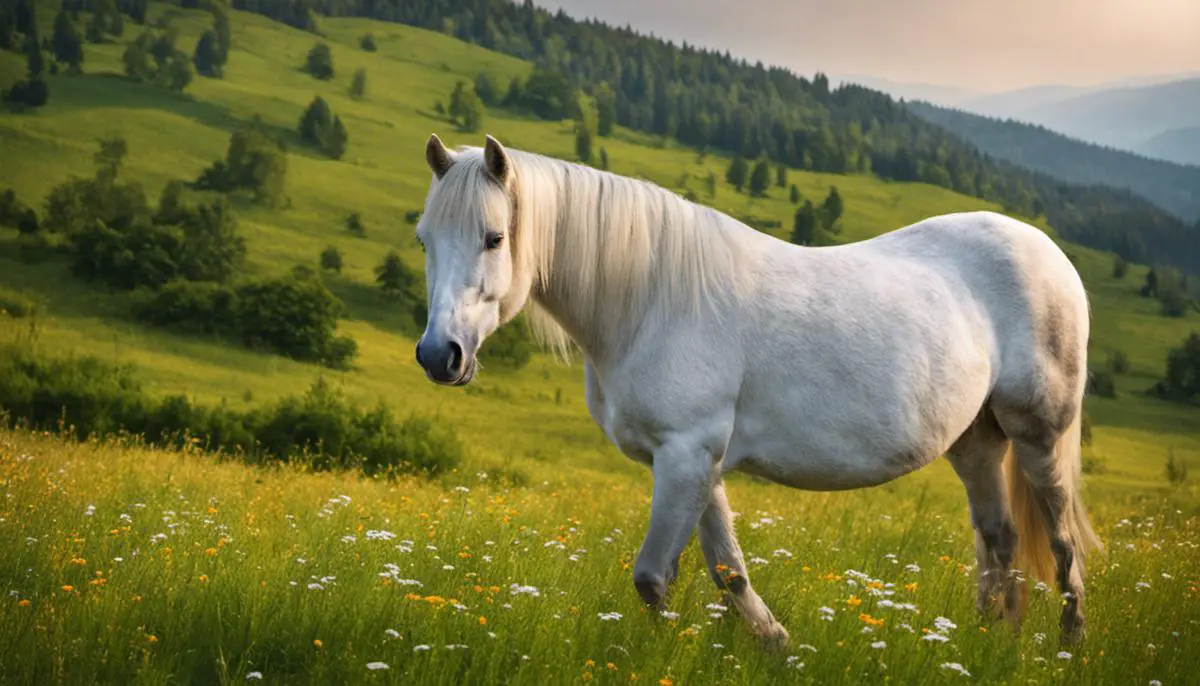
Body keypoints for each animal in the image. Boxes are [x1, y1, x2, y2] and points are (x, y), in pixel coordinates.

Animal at [417, 133, 1099, 647]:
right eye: (424, 239)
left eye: (494, 237)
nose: (438, 355)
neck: (651, 300)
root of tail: (1045, 250)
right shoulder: (696, 465)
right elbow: (729, 573)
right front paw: (776, 646)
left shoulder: (686, 455)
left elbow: (652, 579)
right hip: (976, 441)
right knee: (1001, 540)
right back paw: (989, 641)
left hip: (1038, 434)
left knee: (1061, 541)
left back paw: (1067, 644)